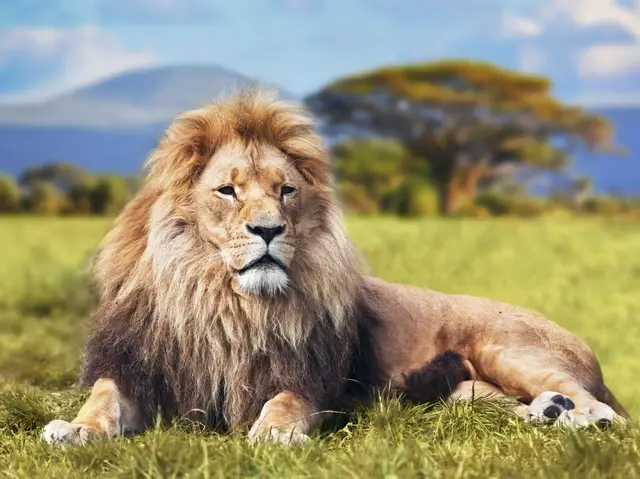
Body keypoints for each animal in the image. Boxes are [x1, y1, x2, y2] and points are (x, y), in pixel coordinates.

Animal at [42, 89, 629, 446]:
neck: (224, 303)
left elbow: (284, 403)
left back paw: (582, 416)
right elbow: (102, 400)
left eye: (285, 191)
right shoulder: (136, 367)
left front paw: (274, 434)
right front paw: (73, 430)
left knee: (602, 407)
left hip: (506, 348)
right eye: (228, 191)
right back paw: (548, 413)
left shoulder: (309, 379)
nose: (269, 230)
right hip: (464, 393)